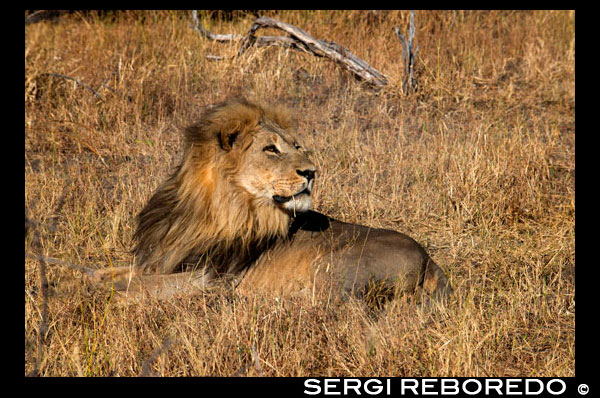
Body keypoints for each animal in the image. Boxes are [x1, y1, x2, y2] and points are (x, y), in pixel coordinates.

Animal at [92, 98, 450, 302]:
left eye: (296, 145)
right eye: (271, 149)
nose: (312, 172)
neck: (211, 209)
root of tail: (428, 259)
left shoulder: (211, 278)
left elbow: (140, 287)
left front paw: (100, 298)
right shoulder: (162, 258)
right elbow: (105, 273)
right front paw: (82, 282)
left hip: (333, 270)